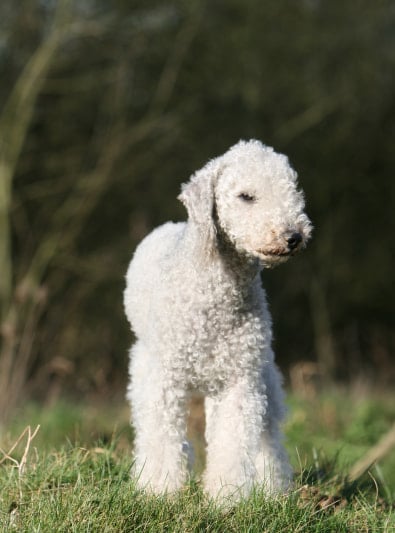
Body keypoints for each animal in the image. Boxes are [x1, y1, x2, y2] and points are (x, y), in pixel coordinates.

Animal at [124, 139, 312, 500]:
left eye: (292, 189)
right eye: (245, 196)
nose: (293, 236)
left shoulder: (239, 380)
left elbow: (233, 443)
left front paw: (226, 498)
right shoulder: (164, 379)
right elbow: (162, 438)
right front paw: (159, 491)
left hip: (262, 374)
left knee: (269, 436)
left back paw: (273, 489)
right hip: (145, 364)